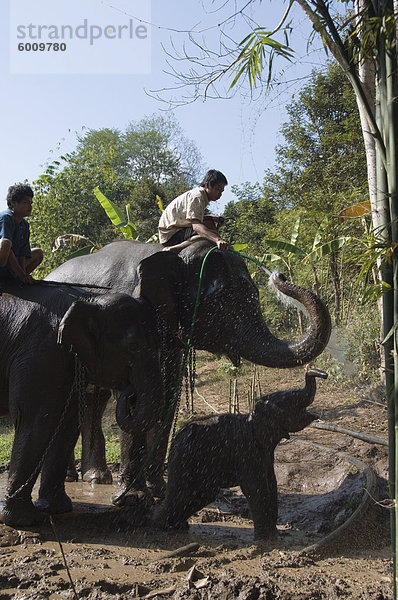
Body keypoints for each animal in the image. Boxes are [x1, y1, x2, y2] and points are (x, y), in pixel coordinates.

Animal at [0, 282, 164, 524]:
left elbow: (67, 424)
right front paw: (24, 520)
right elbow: (37, 421)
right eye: (134, 347)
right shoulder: (39, 354)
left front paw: (56, 509)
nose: (129, 391)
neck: (89, 300)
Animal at [47, 241, 332, 500]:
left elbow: (166, 398)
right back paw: (77, 478)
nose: (279, 276)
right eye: (222, 300)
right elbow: (136, 402)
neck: (172, 255)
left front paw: (158, 492)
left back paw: (96, 478)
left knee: (93, 401)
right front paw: (131, 497)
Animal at [152, 368, 326, 540]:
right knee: (182, 493)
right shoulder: (246, 450)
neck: (252, 416)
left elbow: (271, 482)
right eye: (287, 401)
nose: (322, 373)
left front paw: (274, 535)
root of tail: (176, 439)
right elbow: (255, 486)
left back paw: (177, 526)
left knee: (202, 495)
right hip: (186, 460)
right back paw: (159, 526)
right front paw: (266, 539)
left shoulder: (264, 453)